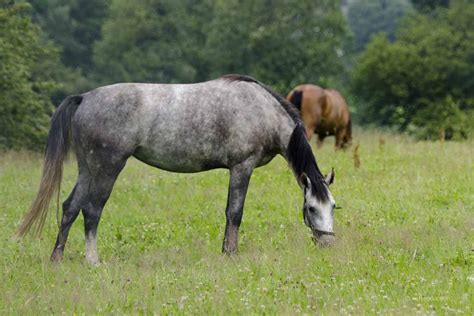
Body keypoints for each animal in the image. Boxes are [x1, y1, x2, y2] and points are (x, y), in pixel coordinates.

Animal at [16, 74, 336, 264]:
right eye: (311, 208)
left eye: (333, 206)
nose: (327, 245)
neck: (261, 110)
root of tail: (84, 98)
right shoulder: (241, 167)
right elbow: (234, 212)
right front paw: (230, 253)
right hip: (107, 168)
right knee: (92, 210)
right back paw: (93, 260)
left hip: (88, 168)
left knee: (70, 207)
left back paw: (57, 258)